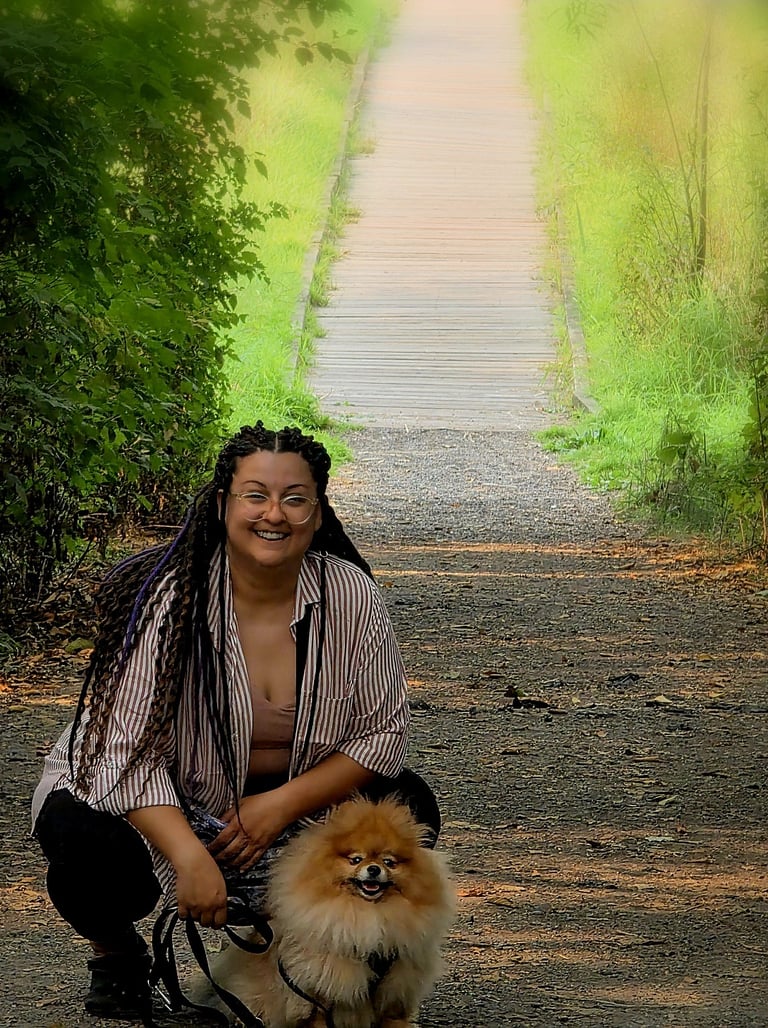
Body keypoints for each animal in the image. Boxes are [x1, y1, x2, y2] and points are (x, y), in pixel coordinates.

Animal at [202, 796, 454, 1027]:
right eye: (356, 859)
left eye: (389, 862)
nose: (374, 869)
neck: (369, 915)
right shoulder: (319, 987)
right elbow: (319, 1016)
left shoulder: (397, 987)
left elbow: (393, 1017)